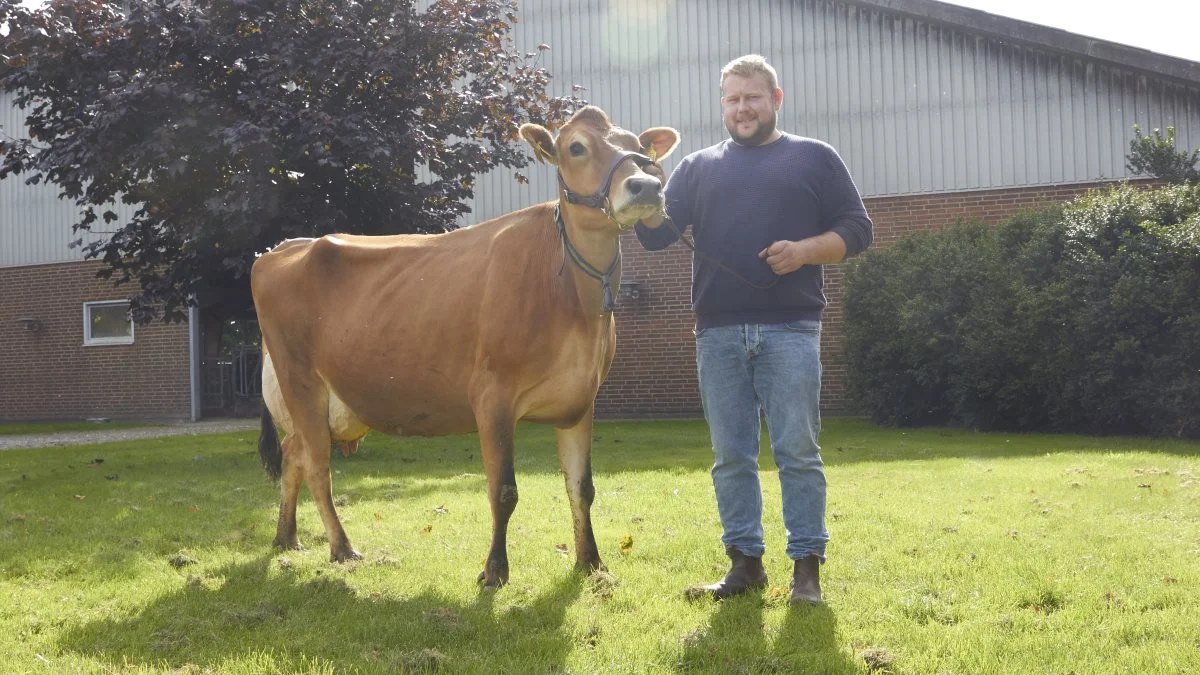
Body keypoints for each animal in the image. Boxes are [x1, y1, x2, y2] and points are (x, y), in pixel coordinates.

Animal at [253, 105, 681, 583]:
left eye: (639, 147)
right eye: (576, 147)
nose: (646, 185)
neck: (573, 297)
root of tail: (283, 248)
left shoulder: (580, 400)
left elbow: (581, 487)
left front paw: (591, 563)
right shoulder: (492, 396)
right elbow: (503, 491)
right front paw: (494, 571)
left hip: (326, 405)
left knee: (293, 455)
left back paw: (286, 537)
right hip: (301, 382)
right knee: (317, 467)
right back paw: (342, 548)